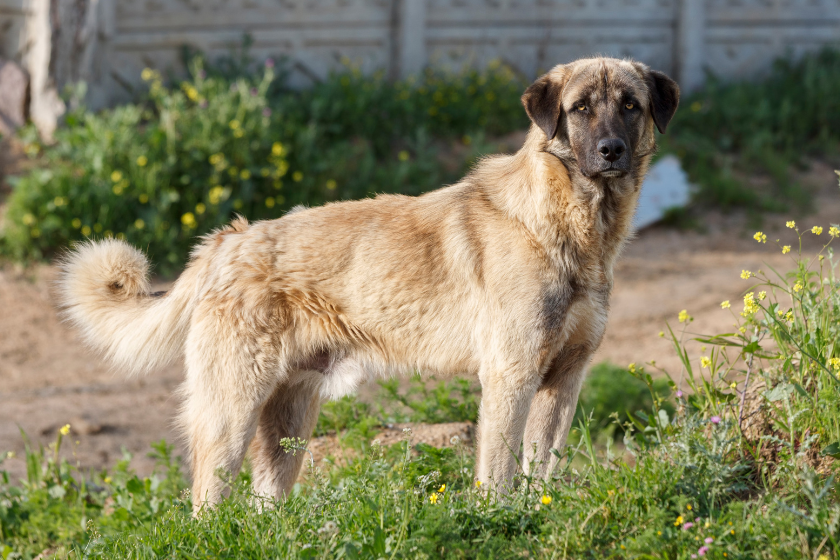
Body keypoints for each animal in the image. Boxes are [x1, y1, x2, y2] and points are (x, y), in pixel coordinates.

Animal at [57, 57, 676, 512]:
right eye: (580, 109)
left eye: (630, 105)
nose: (611, 152)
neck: (568, 223)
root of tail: (227, 241)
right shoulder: (511, 376)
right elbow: (499, 472)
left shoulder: (564, 380)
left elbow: (543, 468)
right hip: (230, 410)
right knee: (206, 501)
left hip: (289, 422)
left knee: (264, 505)